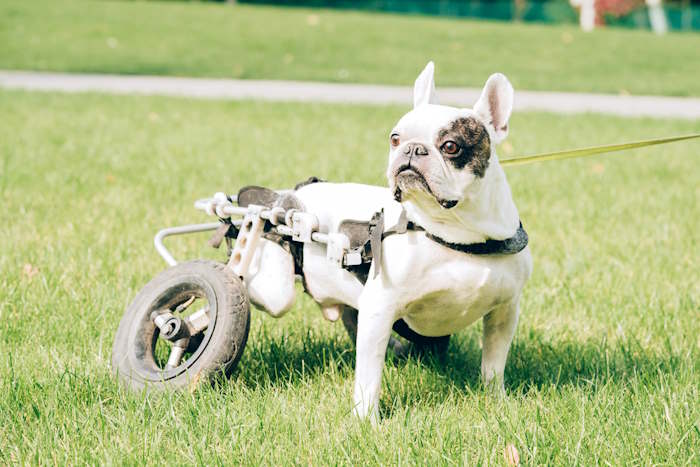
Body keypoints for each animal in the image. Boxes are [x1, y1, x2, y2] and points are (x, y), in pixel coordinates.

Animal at [245, 62, 532, 424]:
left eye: (451, 146)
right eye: (395, 138)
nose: (412, 149)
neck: (455, 233)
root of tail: (298, 192)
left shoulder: (504, 311)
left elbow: (494, 362)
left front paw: (496, 400)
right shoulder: (380, 308)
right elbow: (369, 376)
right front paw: (365, 420)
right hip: (275, 287)